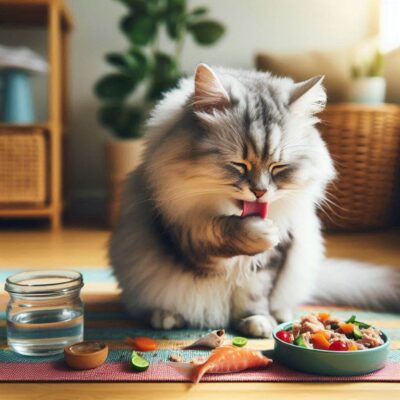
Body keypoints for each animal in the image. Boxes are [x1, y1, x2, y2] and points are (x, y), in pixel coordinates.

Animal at [109, 64, 400, 336]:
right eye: (239, 165)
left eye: (278, 167)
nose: (259, 192)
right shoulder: (186, 235)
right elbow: (220, 232)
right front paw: (259, 232)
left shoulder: (273, 257)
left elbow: (255, 292)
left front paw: (257, 321)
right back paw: (166, 317)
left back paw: (280, 313)